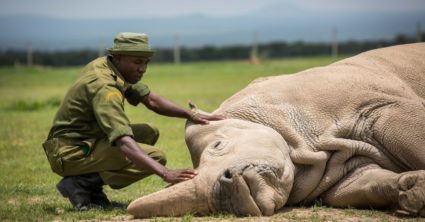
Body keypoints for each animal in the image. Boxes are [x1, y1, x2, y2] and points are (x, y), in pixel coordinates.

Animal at [126, 42, 424, 218]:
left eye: (218, 146)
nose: (225, 197)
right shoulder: (343, 169)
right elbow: (365, 182)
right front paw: (414, 191)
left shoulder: (379, 107)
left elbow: (414, 138)